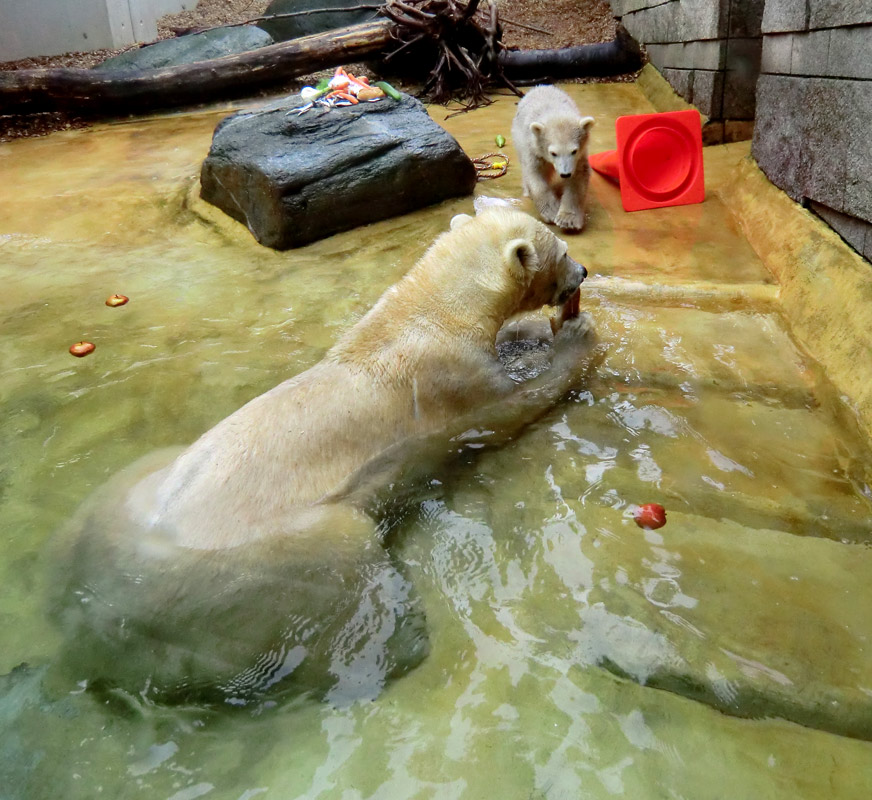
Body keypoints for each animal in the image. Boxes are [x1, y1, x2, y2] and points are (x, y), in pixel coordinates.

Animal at [54, 208, 596, 708]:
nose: (585, 272)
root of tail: (96, 619)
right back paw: (397, 642)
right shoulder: (456, 388)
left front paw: (536, 332)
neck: (423, 318)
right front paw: (576, 337)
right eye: (564, 251)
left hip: (129, 487)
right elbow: (513, 405)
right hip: (272, 562)